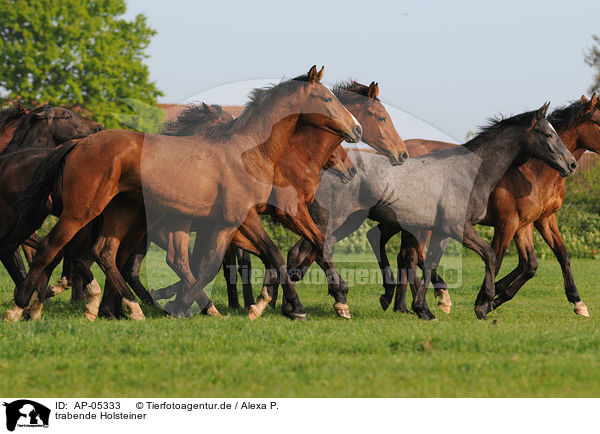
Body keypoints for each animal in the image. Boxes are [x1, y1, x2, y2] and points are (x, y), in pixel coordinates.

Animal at [8, 65, 360, 322]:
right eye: (327, 99)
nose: (356, 129)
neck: (250, 153)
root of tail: (78, 144)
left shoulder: (225, 224)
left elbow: (207, 265)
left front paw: (192, 306)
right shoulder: (246, 216)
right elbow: (270, 254)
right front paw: (293, 308)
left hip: (121, 213)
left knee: (103, 253)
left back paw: (127, 308)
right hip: (82, 211)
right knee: (52, 248)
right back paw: (23, 307)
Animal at [288, 101, 580, 318]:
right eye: (547, 134)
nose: (572, 164)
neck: (469, 173)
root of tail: (323, 169)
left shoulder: (441, 232)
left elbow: (428, 264)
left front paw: (424, 309)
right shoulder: (459, 227)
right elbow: (490, 255)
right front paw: (482, 304)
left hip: (347, 222)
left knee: (303, 253)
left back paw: (293, 305)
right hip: (335, 220)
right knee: (311, 251)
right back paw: (328, 303)